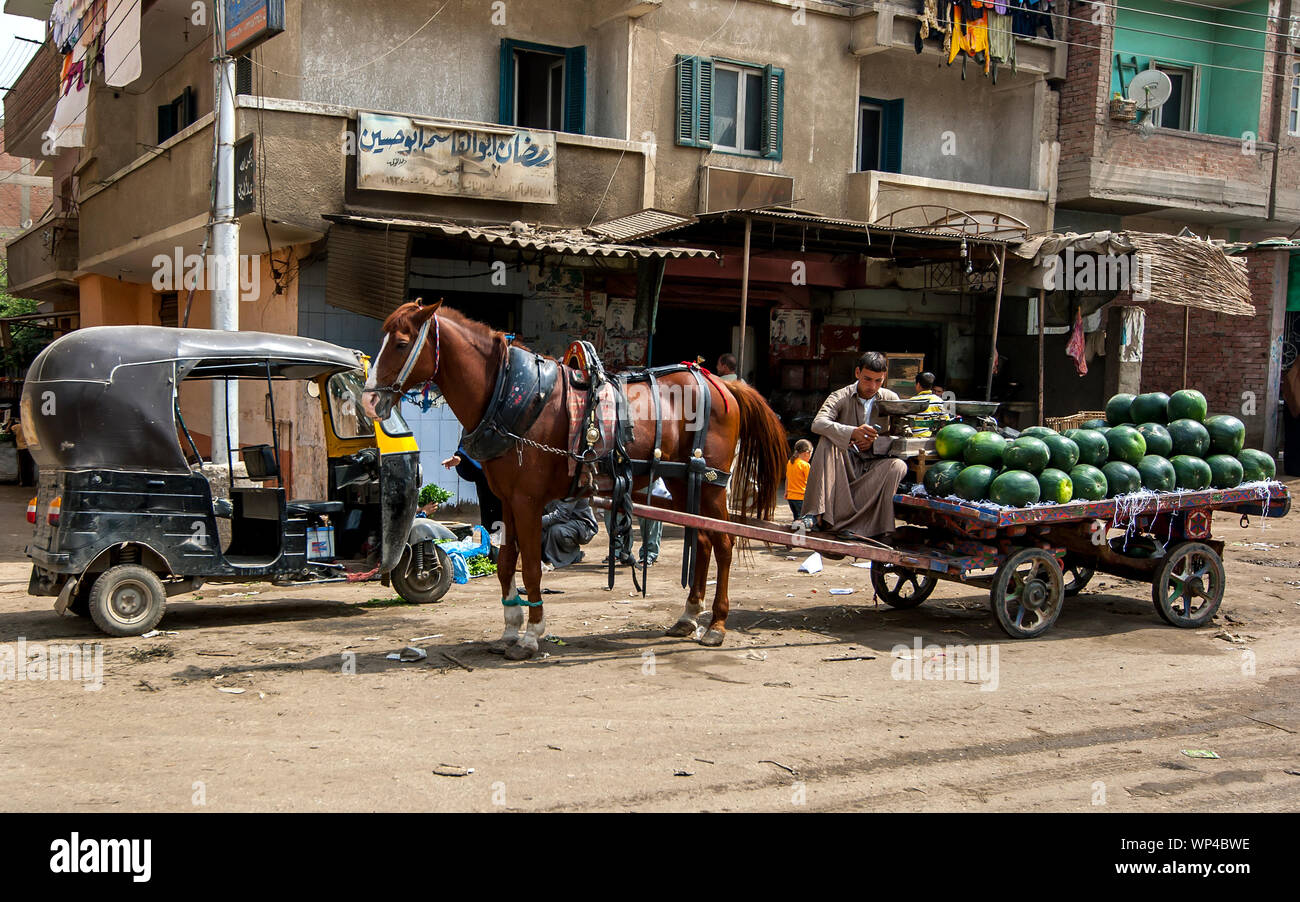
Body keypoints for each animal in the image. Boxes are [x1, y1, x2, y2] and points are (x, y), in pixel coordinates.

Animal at [361, 300, 788, 660]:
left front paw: (531, 636)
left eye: (401, 343)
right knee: (702, 542)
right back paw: (688, 616)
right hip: (685, 485)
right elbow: (506, 564)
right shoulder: (507, 500)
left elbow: (531, 568)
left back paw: (716, 624)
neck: (511, 394)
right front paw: (509, 630)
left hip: (712, 484)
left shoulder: (528, 501)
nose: (368, 400)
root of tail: (722, 384)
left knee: (724, 544)